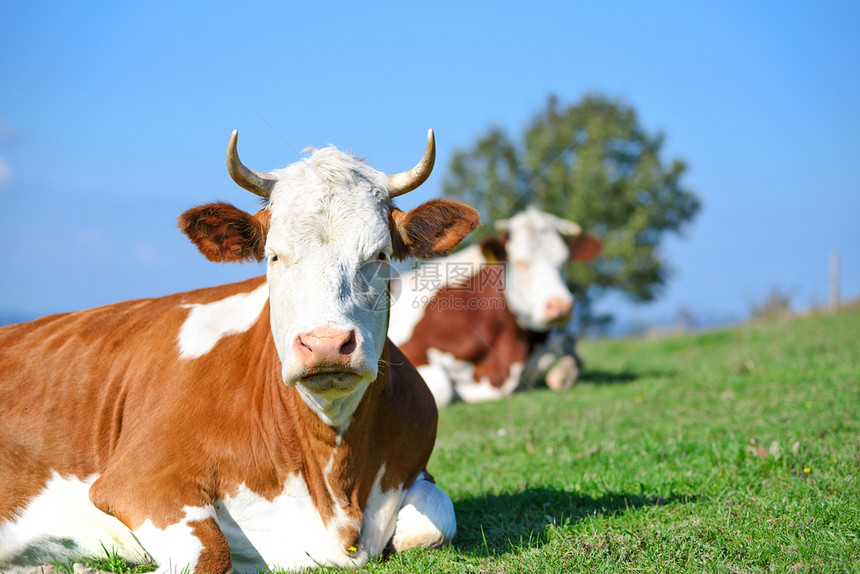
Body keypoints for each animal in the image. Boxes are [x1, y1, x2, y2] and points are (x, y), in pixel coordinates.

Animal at [0, 132, 478, 574]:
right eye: (274, 256)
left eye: (379, 254)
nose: (325, 344)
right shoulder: (136, 479)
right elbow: (210, 553)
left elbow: (437, 519)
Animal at [392, 208, 604, 410]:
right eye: (520, 262)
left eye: (564, 261)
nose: (560, 306)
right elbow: (441, 391)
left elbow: (567, 344)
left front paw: (563, 375)